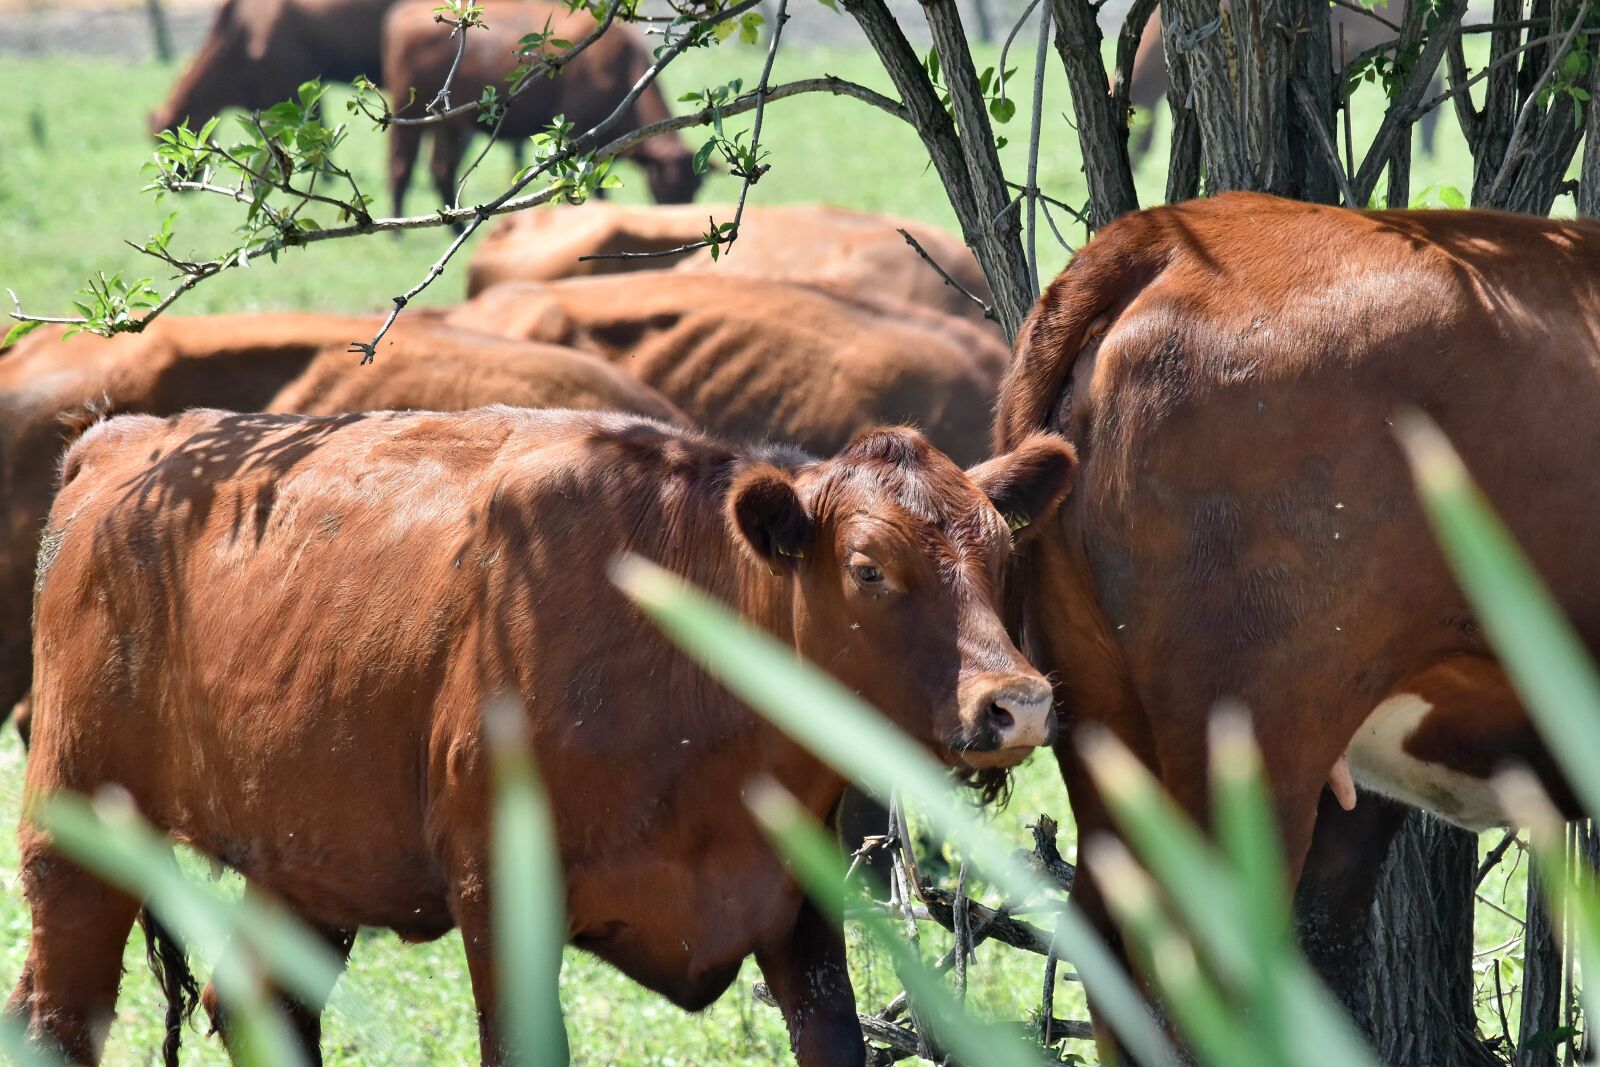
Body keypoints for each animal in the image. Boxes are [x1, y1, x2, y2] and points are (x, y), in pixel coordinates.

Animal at [9, 407, 1075, 1065]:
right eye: (867, 567)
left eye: (1002, 551)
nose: (1017, 702)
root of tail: (126, 441)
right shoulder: (501, 899)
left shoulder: (795, 903)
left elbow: (833, 1037)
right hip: (76, 827)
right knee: (59, 1013)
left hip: (306, 859)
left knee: (261, 1004)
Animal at [382, 1, 699, 218]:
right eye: (671, 186)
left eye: (694, 189)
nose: (679, 216)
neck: (618, 67)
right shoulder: (584, 138)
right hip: (408, 115)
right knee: (401, 166)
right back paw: (397, 232)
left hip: (447, 125)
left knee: (441, 169)